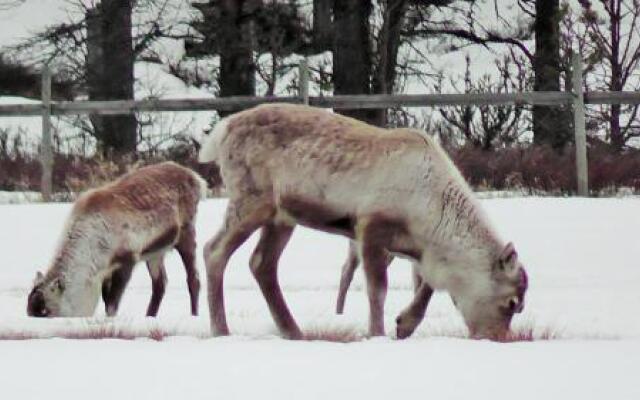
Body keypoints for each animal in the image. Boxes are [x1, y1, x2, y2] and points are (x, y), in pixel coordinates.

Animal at [27, 162, 205, 318]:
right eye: (29, 311)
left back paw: (194, 315)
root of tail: (197, 178)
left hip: (186, 233)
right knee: (160, 284)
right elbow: (106, 300)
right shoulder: (106, 270)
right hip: (155, 251)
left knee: (193, 279)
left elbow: (112, 305)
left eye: (46, 311)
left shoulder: (127, 259)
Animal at [200, 104, 528, 340]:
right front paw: (377, 333)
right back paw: (221, 330)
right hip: (252, 199)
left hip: (282, 216)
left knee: (261, 263)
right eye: (512, 303)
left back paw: (293, 332)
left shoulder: (416, 248)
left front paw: (404, 324)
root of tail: (221, 131)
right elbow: (377, 289)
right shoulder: (371, 227)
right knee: (214, 250)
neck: (429, 216)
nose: (497, 338)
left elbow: (427, 285)